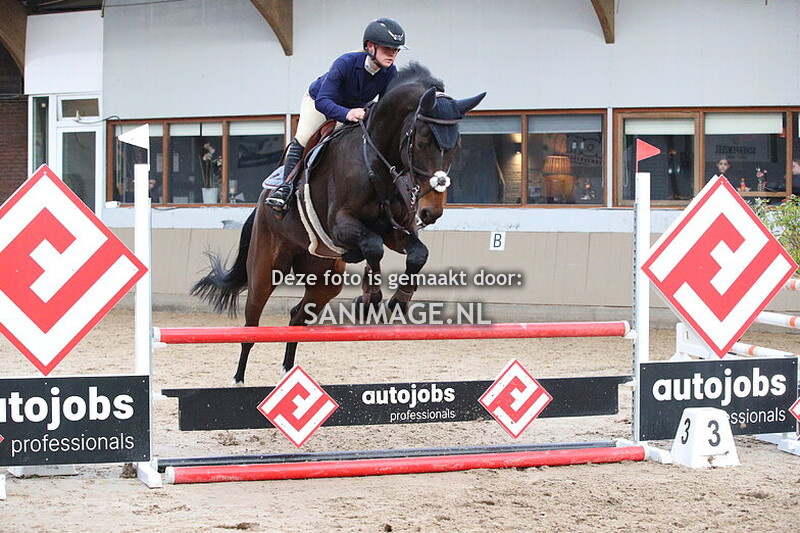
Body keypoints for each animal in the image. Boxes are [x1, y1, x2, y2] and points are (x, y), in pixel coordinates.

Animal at [191, 63, 486, 384]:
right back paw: (238, 379)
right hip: (265, 270)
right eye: (421, 142)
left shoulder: (394, 231)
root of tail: (260, 206)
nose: (432, 212)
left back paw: (288, 372)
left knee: (297, 317)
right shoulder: (341, 225)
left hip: (324, 279)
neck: (374, 163)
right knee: (251, 325)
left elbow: (417, 253)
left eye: (456, 145)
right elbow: (373, 247)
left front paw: (398, 301)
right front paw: (371, 300)